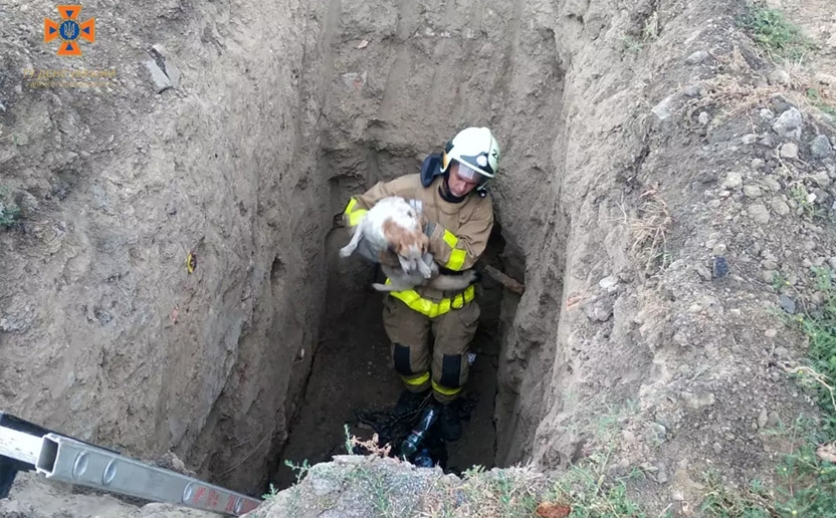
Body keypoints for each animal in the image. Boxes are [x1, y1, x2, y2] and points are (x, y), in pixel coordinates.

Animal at [340, 196, 480, 294]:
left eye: (416, 257)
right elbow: (355, 239)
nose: (411, 271)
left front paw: (423, 267)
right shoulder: (364, 222)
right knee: (400, 287)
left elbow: (421, 257)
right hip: (387, 269)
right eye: (404, 257)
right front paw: (347, 249)